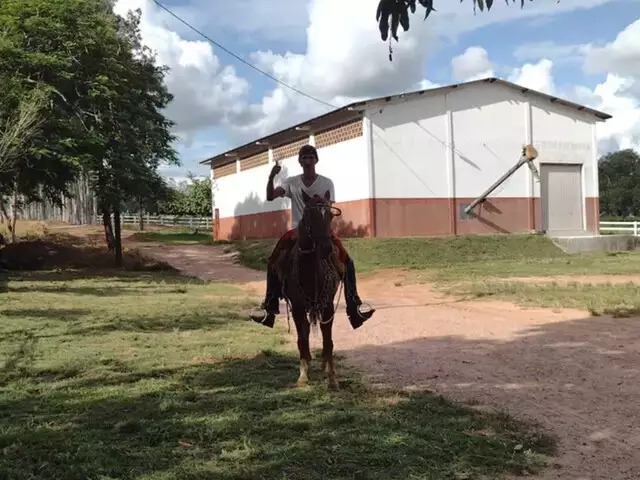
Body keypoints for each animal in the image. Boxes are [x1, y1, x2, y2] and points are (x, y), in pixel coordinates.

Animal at [282, 188, 344, 390]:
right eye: (310, 215)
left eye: (330, 216)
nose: (326, 248)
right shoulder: (297, 308)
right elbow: (302, 339)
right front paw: (302, 375)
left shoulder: (328, 307)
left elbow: (328, 341)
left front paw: (332, 378)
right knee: (306, 332)